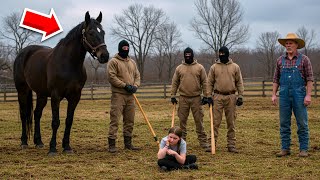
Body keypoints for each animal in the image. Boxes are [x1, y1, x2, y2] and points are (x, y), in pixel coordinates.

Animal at [14, 11, 109, 155]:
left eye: (103, 32)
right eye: (91, 33)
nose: (105, 56)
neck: (69, 63)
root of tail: (23, 53)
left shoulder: (75, 97)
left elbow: (69, 121)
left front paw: (67, 147)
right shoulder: (56, 96)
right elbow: (55, 121)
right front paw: (53, 148)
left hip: (41, 94)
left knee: (37, 114)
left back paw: (39, 142)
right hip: (22, 91)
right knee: (24, 114)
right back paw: (24, 142)